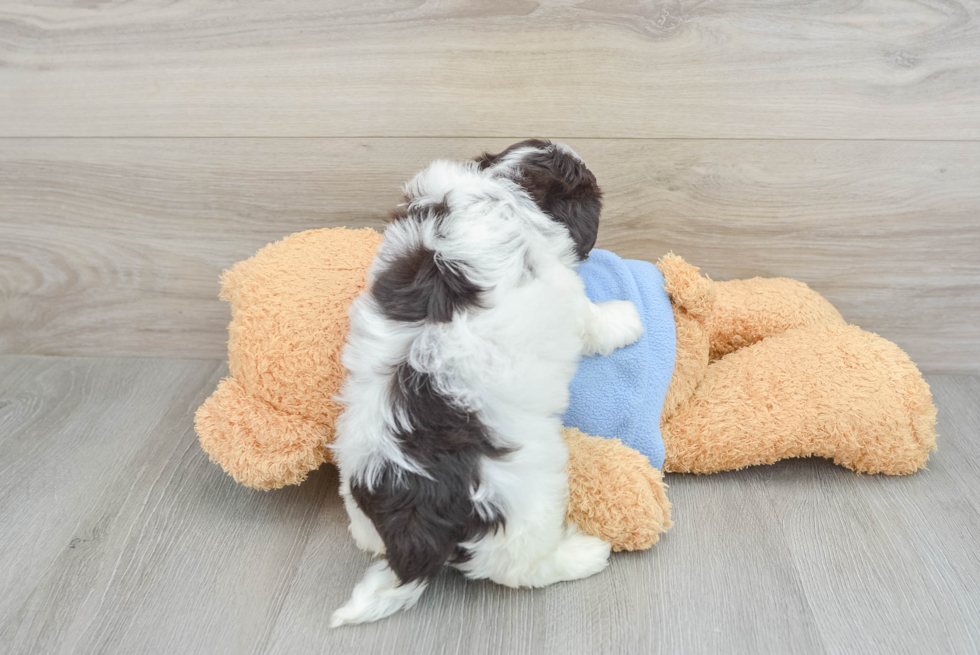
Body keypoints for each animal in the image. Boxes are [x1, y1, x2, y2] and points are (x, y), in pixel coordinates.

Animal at [334, 141, 648, 628]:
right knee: (524, 568)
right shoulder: (566, 293)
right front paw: (626, 319)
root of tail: (412, 530)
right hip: (523, 501)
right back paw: (583, 554)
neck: (503, 186)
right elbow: (594, 320)